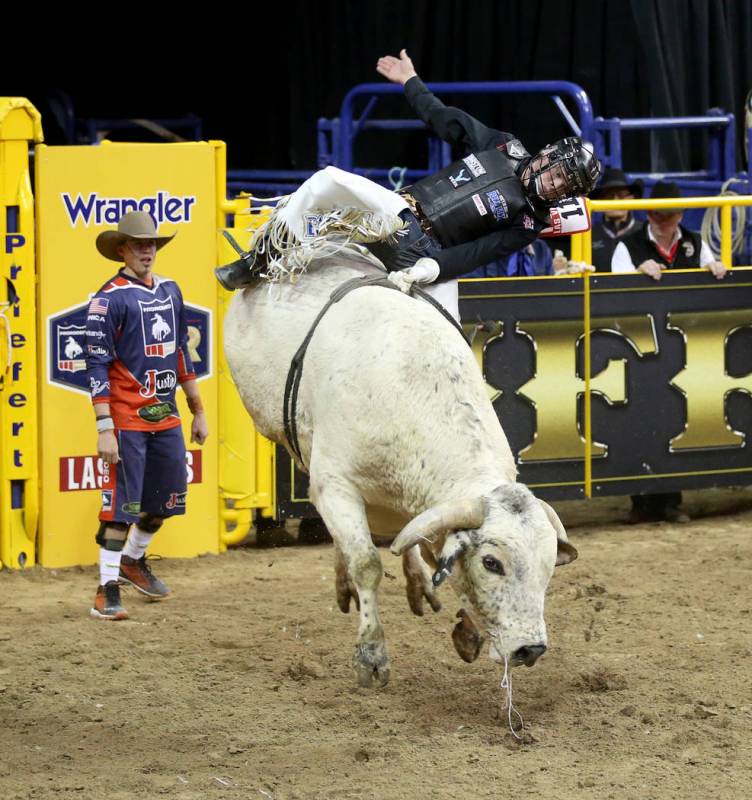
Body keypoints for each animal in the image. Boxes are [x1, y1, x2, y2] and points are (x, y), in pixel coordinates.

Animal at [223, 255, 576, 688]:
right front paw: (371, 655)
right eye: (492, 563)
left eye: (549, 562)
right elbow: (367, 563)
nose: (531, 649)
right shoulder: (335, 486)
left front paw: (464, 627)